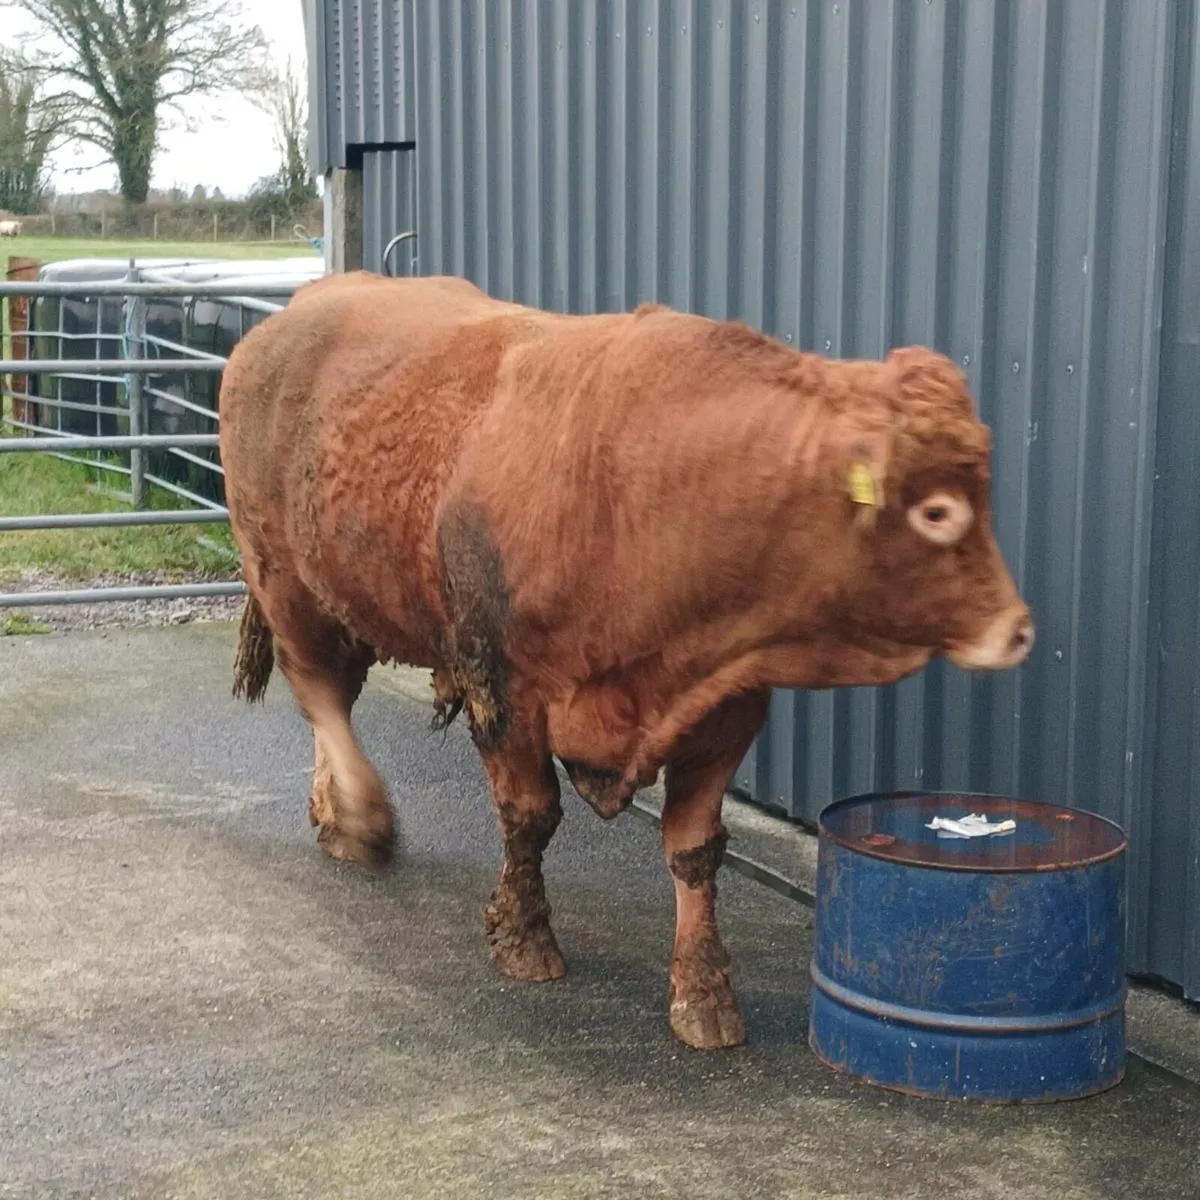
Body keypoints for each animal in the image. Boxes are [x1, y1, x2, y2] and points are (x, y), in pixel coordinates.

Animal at [218, 272, 1033, 1051]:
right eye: (937, 511)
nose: (1018, 629)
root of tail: (293, 315)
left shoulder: (726, 707)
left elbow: (697, 850)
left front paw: (703, 994)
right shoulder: (506, 687)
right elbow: (530, 816)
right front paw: (524, 938)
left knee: (335, 700)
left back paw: (331, 809)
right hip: (282, 575)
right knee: (320, 693)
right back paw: (362, 817)